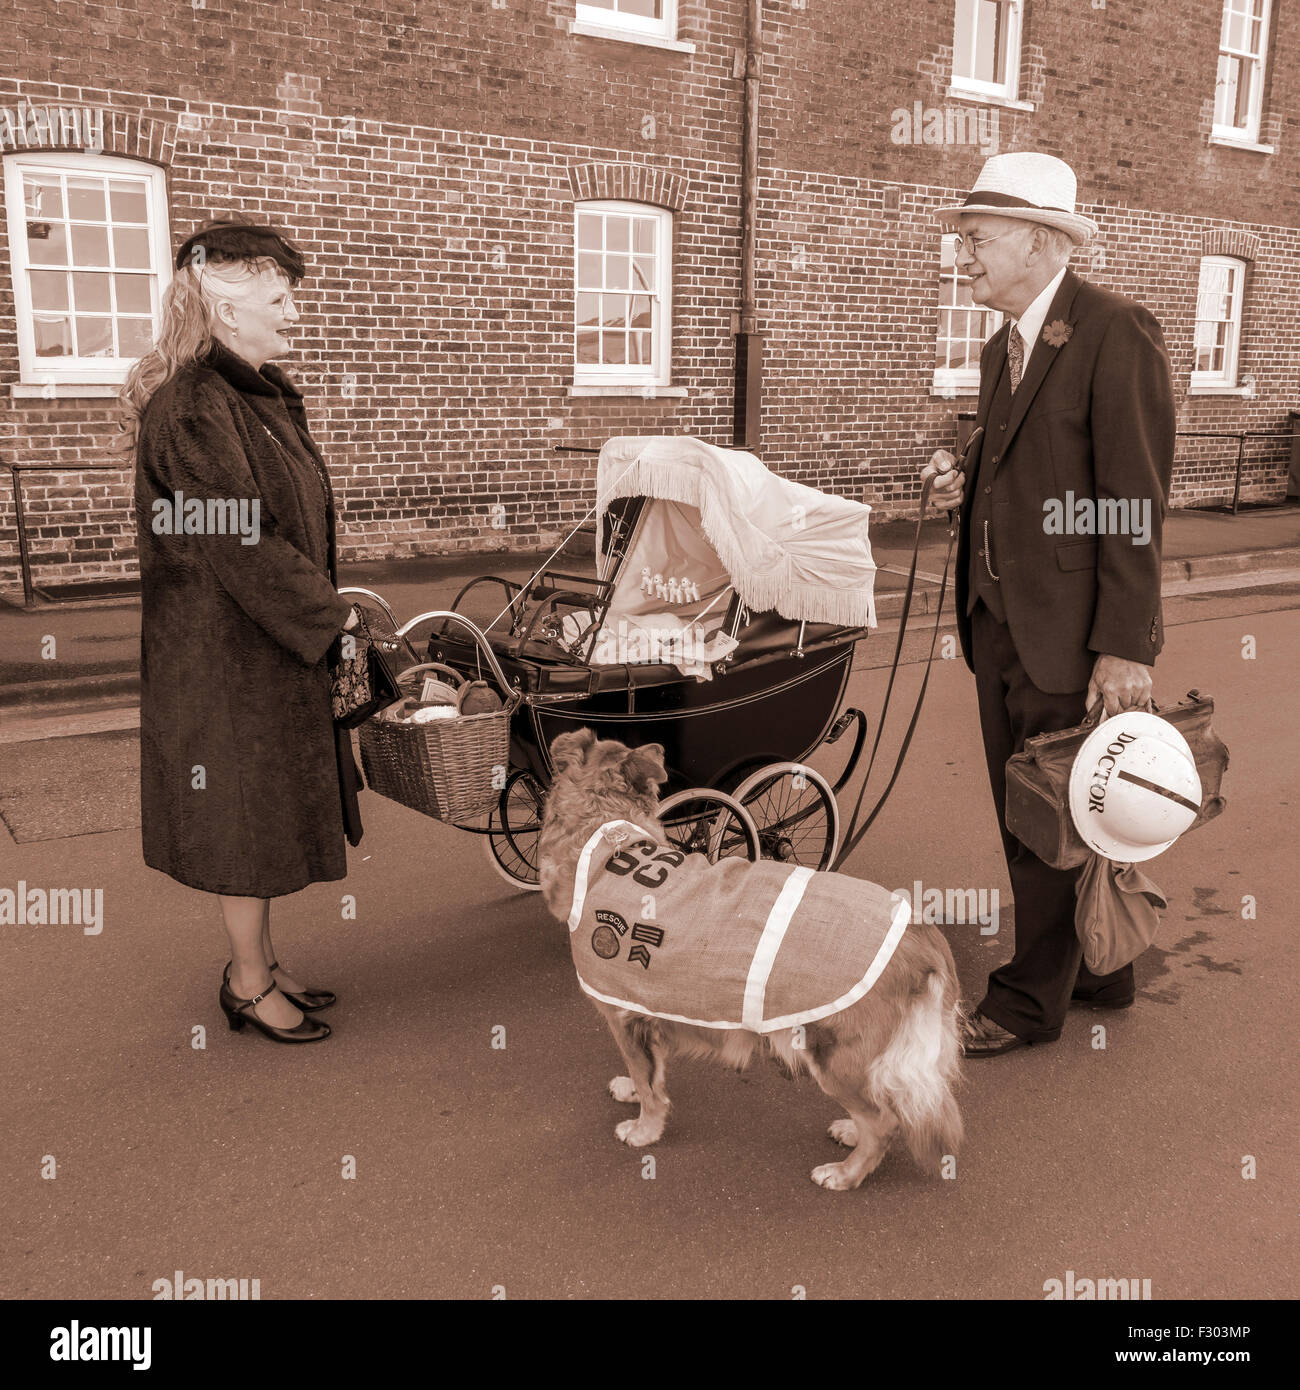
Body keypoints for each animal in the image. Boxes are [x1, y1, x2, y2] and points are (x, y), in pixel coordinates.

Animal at [539, 722, 967, 1189]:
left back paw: (846, 1173)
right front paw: (633, 1093)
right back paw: (851, 1133)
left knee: (884, 1121)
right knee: (881, 1107)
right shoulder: (646, 1011)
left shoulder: (623, 1016)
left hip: (833, 1054)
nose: (662, 748)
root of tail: (921, 932)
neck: (604, 837)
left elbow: (648, 1082)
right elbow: (651, 1071)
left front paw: (644, 1129)